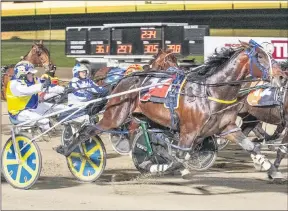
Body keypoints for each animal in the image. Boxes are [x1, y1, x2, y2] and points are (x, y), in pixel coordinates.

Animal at [55, 40, 286, 182]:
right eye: (260, 57)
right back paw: (72, 152)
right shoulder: (188, 132)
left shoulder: (228, 128)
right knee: (88, 130)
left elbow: (251, 147)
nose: (282, 76)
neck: (209, 92)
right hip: (116, 115)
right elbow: (178, 156)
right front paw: (164, 168)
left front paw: (271, 170)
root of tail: (124, 80)